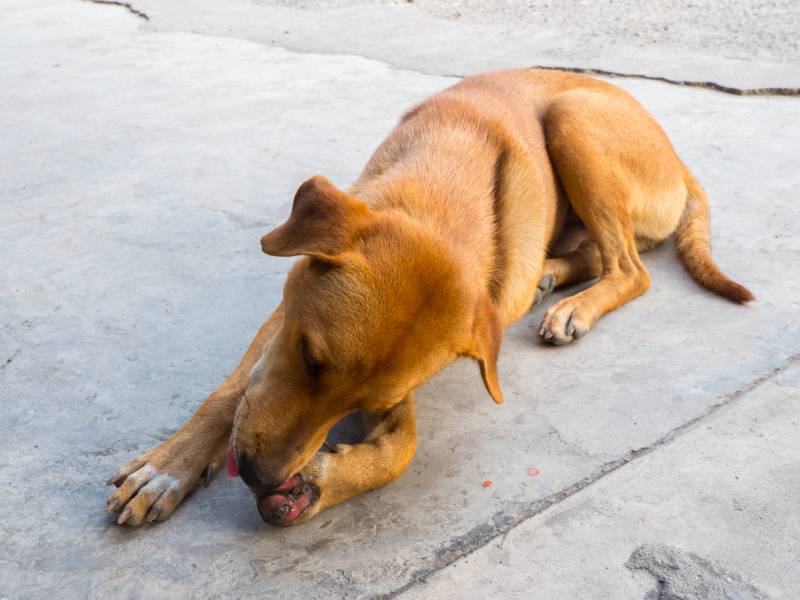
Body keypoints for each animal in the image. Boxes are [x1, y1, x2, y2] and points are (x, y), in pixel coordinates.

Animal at [104, 69, 752, 524]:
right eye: (309, 357)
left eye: (361, 401)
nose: (261, 477)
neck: (443, 189)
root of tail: (680, 161)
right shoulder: (284, 316)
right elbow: (232, 393)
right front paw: (170, 465)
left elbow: (404, 448)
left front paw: (320, 482)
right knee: (604, 254)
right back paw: (552, 276)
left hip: (574, 121)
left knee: (633, 269)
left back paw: (573, 306)